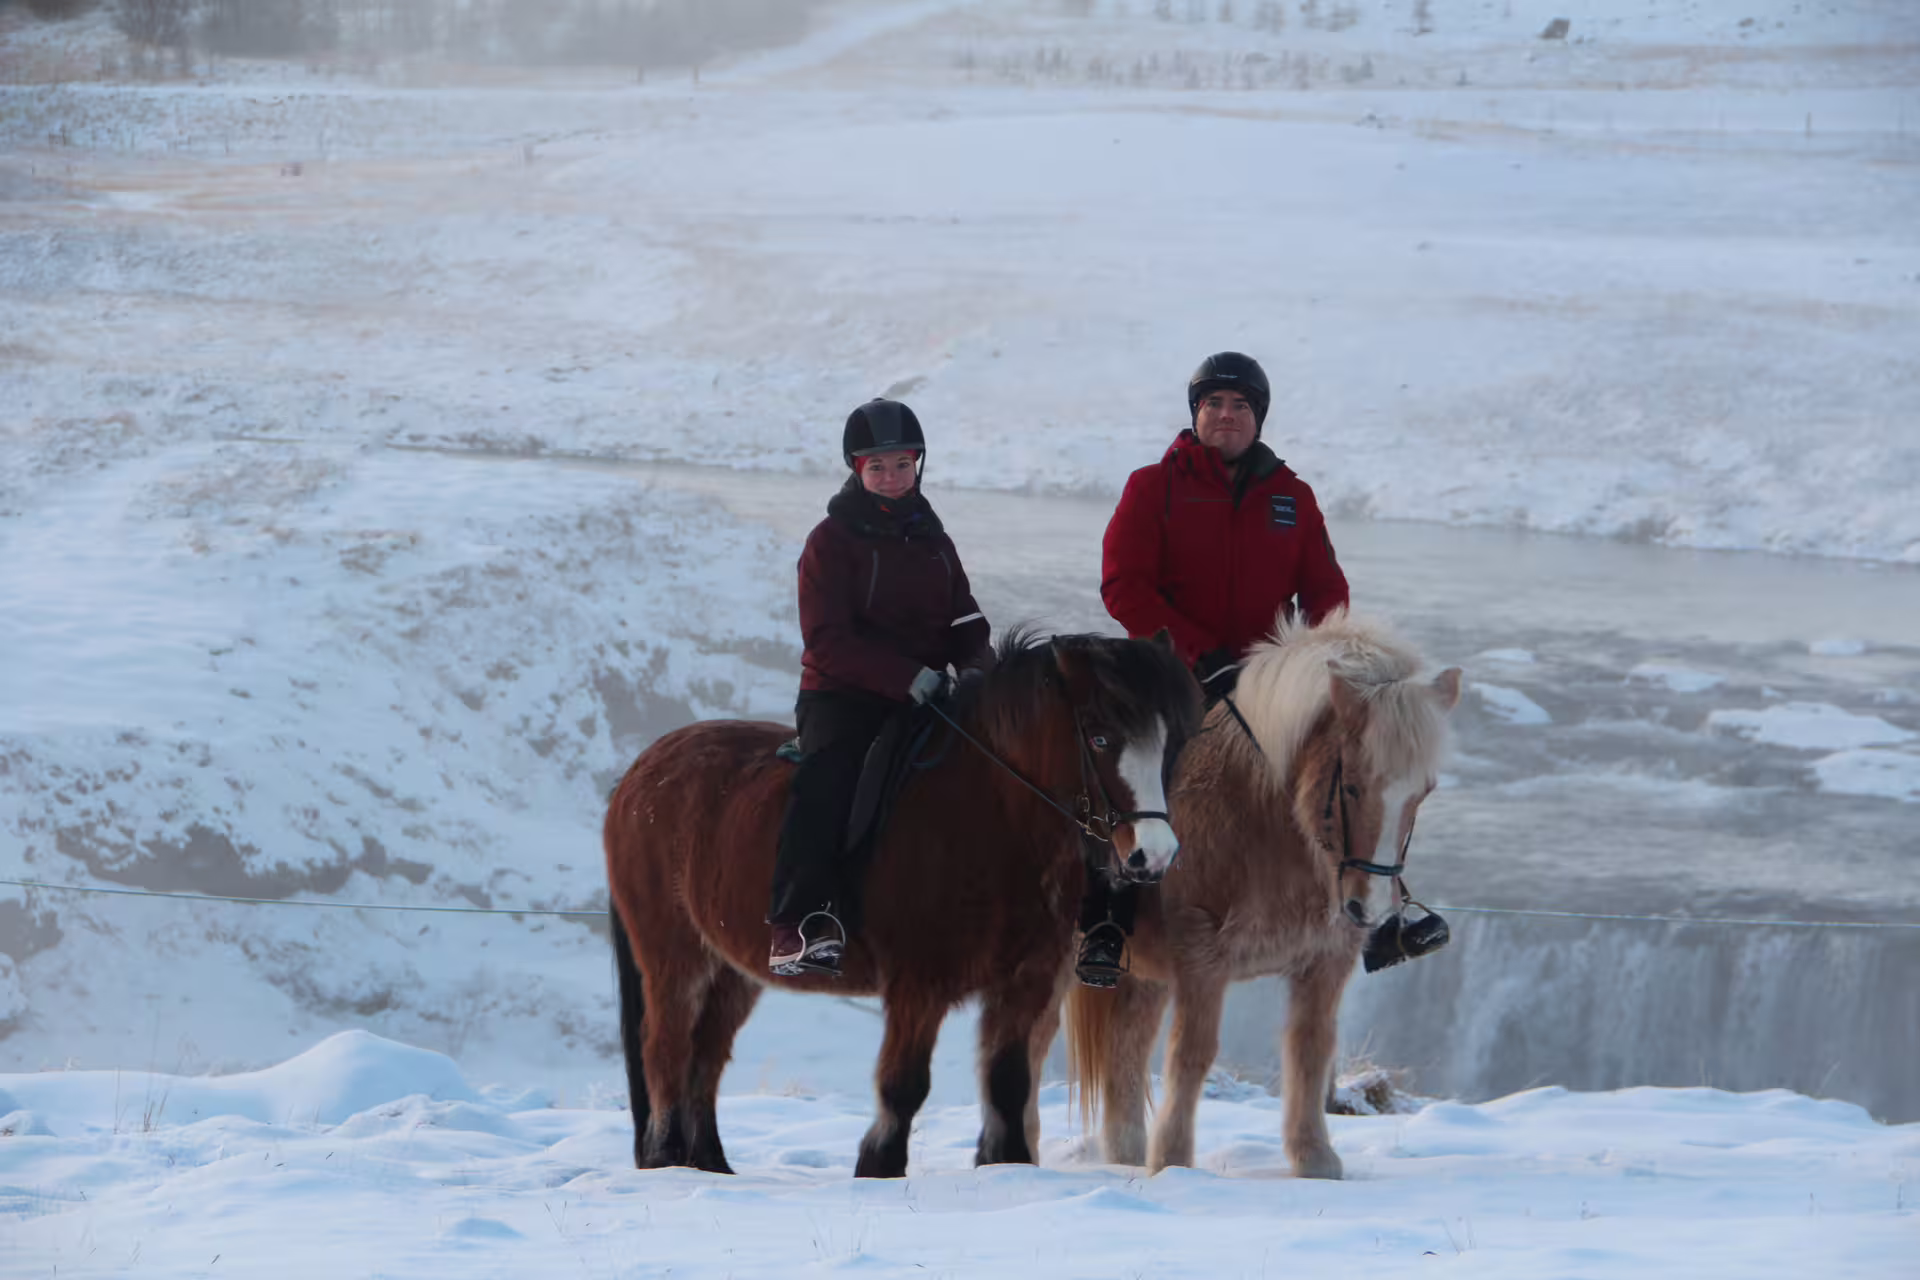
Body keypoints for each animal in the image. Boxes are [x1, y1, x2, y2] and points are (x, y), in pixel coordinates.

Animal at [603, 629, 1201, 1179]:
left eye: (1165, 742)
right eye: (1099, 739)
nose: (1154, 854)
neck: (988, 817)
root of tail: (637, 776)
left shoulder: (1024, 984)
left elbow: (1008, 1082)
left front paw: (1006, 1168)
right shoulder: (919, 983)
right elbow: (904, 1084)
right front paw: (880, 1167)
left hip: (732, 968)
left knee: (705, 1056)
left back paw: (708, 1164)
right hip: (674, 955)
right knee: (666, 1049)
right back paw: (665, 1159)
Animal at [1065, 610, 1461, 1179]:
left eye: (1422, 792)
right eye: (1352, 786)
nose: (1370, 908)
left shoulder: (1327, 959)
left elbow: (1311, 1049)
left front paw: (1313, 1157)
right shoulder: (1202, 955)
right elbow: (1193, 1053)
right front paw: (1174, 1163)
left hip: (1144, 975)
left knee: (1126, 1048)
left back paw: (1124, 1155)